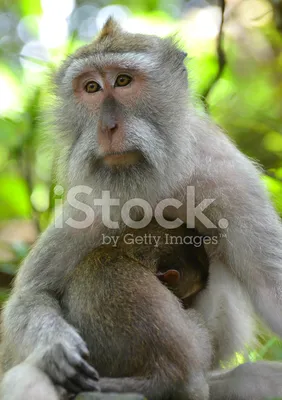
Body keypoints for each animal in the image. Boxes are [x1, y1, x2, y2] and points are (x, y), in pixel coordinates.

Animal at [0, 18, 282, 400]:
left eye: (123, 81)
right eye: (91, 87)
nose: (107, 127)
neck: (150, 179)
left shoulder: (230, 179)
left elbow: (272, 288)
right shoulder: (89, 203)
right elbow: (32, 296)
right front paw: (57, 348)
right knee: (27, 376)